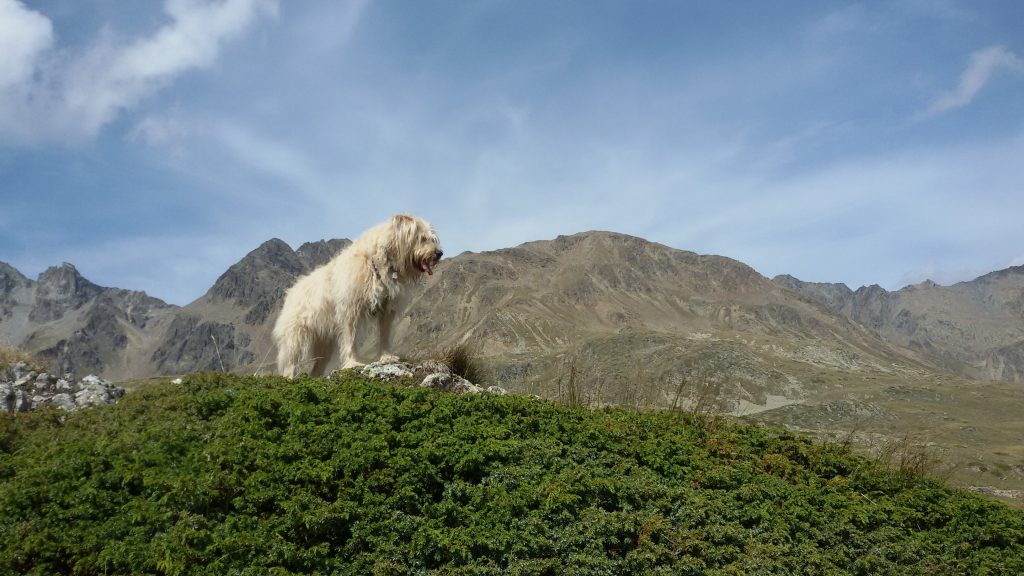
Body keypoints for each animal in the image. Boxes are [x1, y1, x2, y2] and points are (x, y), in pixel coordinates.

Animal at [274, 212, 442, 377]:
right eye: (422, 238)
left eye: (433, 238)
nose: (439, 253)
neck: (378, 263)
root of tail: (291, 292)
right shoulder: (350, 310)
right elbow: (351, 339)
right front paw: (352, 362)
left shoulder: (386, 309)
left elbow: (385, 335)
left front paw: (387, 357)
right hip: (295, 337)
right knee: (290, 362)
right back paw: (289, 378)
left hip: (324, 342)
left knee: (317, 368)